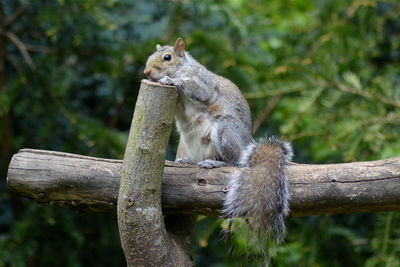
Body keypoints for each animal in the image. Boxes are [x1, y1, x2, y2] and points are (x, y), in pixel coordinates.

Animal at [143, 38, 290, 258]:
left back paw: (214, 163)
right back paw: (188, 161)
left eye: (167, 57)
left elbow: (198, 90)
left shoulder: (204, 83)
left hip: (225, 130)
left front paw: (171, 81)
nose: (147, 72)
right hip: (189, 141)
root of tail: (246, 146)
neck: (184, 67)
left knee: (235, 163)